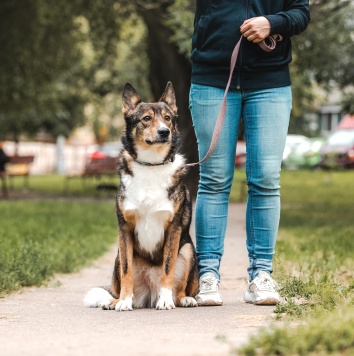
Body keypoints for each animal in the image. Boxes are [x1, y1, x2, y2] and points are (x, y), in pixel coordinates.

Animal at [83, 82, 199, 310]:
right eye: (146, 118)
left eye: (168, 118)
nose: (164, 132)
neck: (151, 165)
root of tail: (150, 292)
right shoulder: (125, 229)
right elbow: (126, 272)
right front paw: (123, 302)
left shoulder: (174, 229)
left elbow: (167, 268)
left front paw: (165, 301)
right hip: (118, 256)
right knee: (121, 284)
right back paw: (115, 301)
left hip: (188, 250)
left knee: (180, 288)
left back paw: (182, 299)